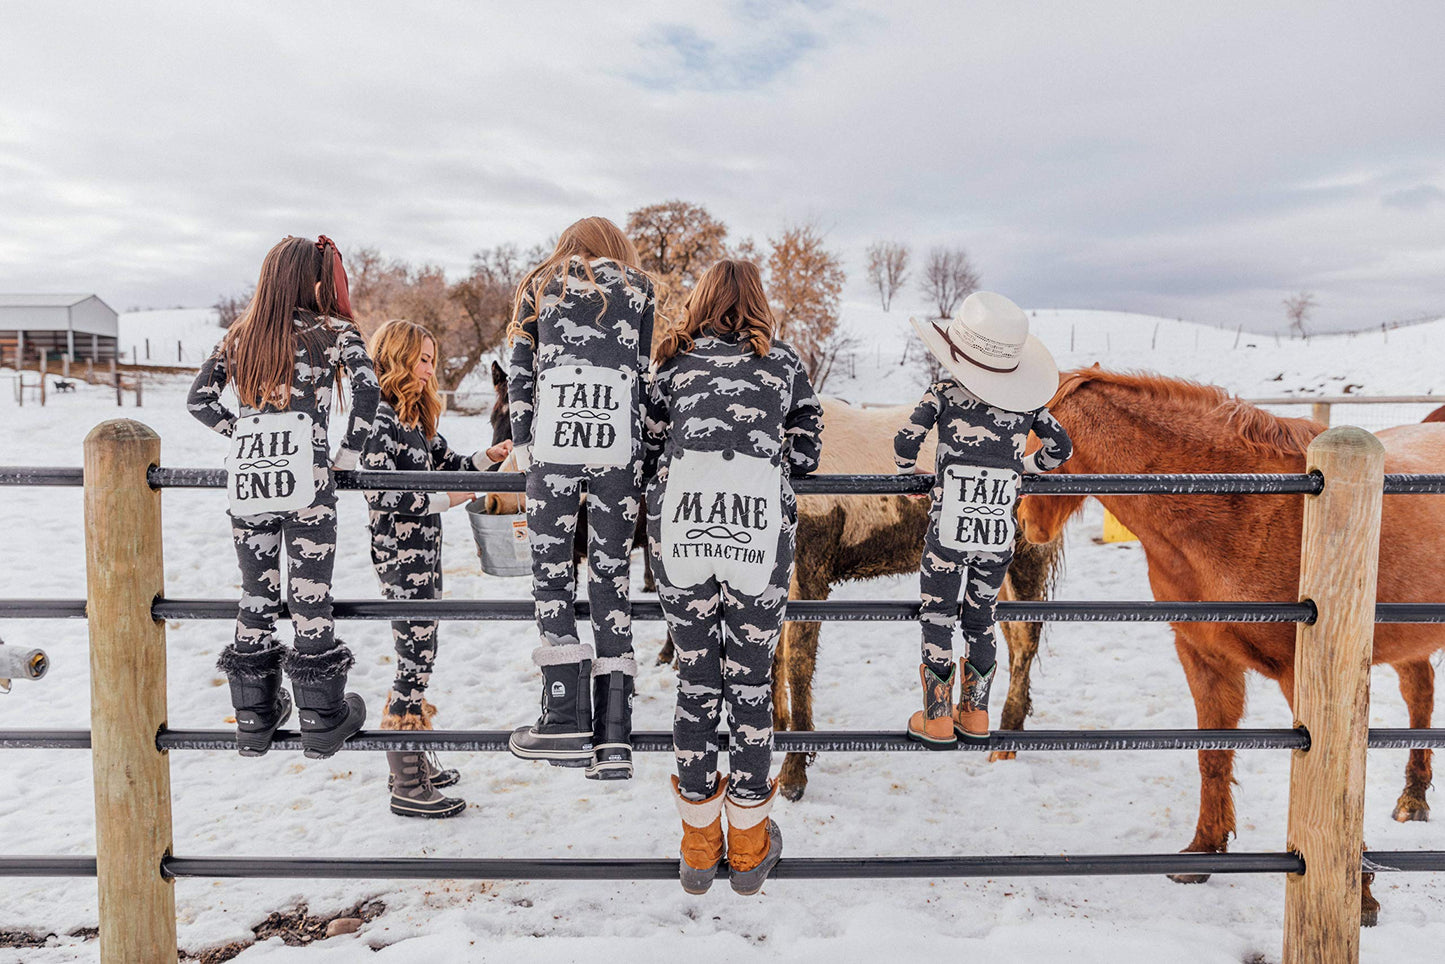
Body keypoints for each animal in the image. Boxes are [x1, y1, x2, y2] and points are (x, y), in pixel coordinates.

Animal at [1011, 365, 1445, 924]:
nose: (1024, 523)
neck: (1242, 508)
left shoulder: (1305, 672)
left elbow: (1338, 779)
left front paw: (1362, 897)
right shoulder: (1203, 657)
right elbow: (1212, 754)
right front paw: (1203, 852)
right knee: (1420, 692)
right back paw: (1413, 798)